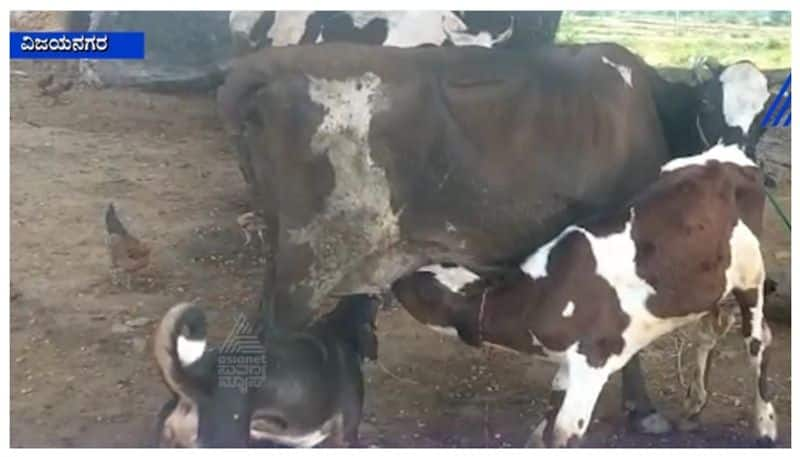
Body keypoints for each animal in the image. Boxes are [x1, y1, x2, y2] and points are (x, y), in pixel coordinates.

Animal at [390, 144, 780, 448]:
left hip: (751, 278)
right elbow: (544, 426)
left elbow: (563, 434)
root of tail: (729, 156)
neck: (539, 300)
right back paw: (696, 403)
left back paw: (765, 424)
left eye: (424, 291)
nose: (394, 283)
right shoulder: (567, 364)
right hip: (710, 286)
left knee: (757, 341)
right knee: (712, 330)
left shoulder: (592, 363)